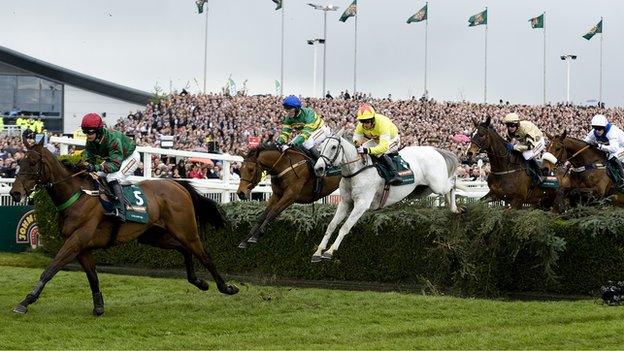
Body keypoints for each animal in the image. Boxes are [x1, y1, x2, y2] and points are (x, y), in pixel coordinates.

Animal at [9, 139, 239, 318]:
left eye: (32, 162)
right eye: (20, 162)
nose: (15, 193)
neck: (77, 195)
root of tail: (177, 184)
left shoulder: (77, 240)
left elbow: (50, 270)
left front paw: (25, 302)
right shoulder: (82, 246)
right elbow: (92, 276)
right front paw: (99, 306)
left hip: (186, 231)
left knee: (204, 255)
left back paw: (226, 287)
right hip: (153, 236)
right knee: (184, 250)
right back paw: (199, 281)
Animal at [314, 130, 460, 264]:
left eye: (333, 147)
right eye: (320, 147)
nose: (318, 168)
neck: (355, 171)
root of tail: (434, 149)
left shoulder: (361, 204)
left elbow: (345, 227)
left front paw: (330, 251)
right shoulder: (345, 202)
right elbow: (332, 225)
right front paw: (318, 251)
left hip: (437, 185)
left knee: (452, 184)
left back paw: (454, 207)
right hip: (424, 189)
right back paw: (450, 206)